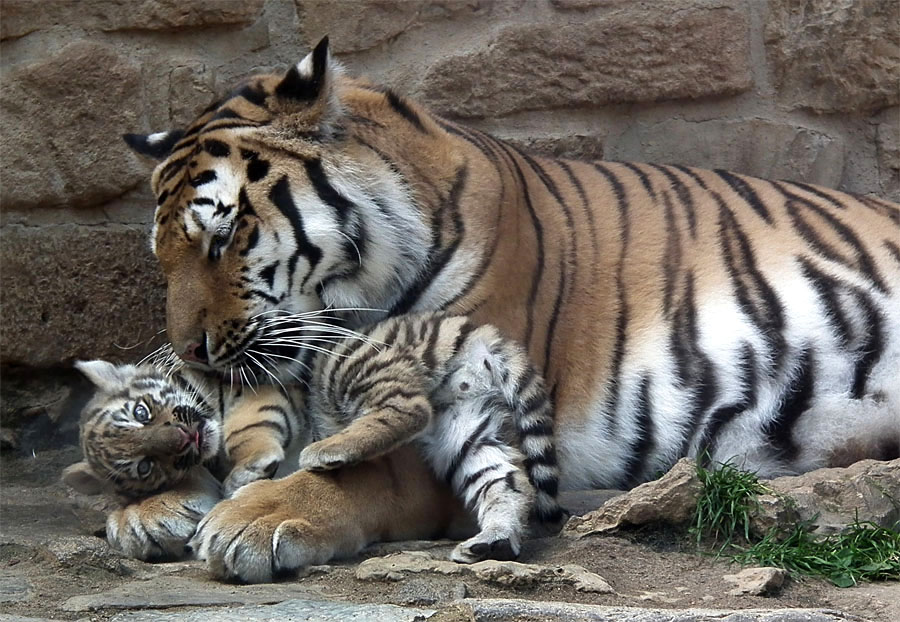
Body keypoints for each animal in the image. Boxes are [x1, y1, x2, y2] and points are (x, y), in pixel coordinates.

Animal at [121, 37, 900, 584]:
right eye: (162, 254)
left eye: (224, 237)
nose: (189, 352)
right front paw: (150, 508)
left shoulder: (461, 414)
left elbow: (355, 473)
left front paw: (253, 518)